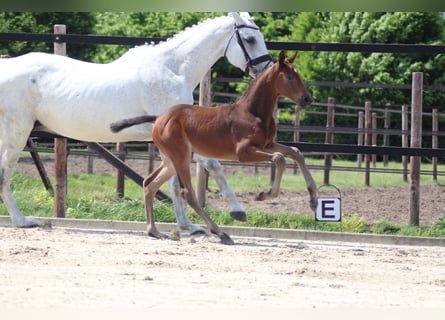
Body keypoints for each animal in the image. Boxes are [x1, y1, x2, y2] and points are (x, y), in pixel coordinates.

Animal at [0, 12, 270, 234]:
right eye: (250, 39)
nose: (266, 69)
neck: (172, 70)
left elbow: (174, 183)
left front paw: (187, 226)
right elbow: (213, 166)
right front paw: (237, 211)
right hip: (17, 133)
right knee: (5, 173)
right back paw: (22, 221)